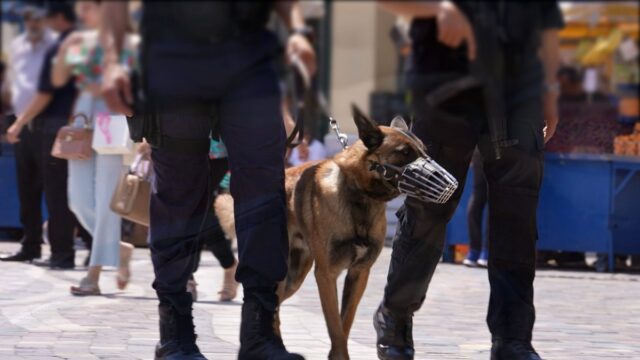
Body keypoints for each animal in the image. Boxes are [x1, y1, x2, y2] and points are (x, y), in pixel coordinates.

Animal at [215, 105, 424, 358]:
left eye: (423, 150)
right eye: (404, 152)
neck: (358, 197)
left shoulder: (359, 274)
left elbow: (345, 322)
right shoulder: (326, 275)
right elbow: (334, 324)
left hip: (294, 277)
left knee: (274, 306)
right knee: (268, 303)